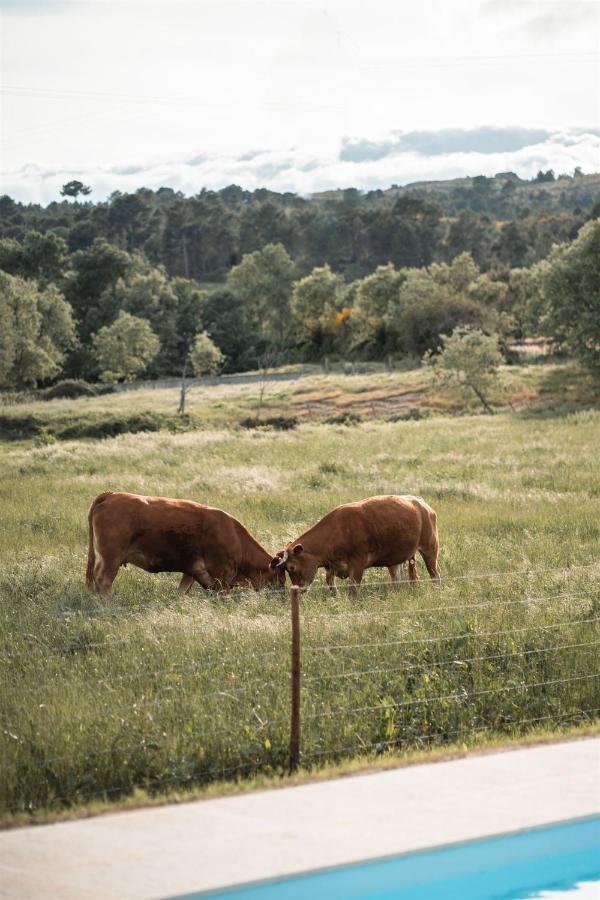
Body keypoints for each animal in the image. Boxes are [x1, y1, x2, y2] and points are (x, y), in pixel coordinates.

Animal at [86, 492, 286, 596]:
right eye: (281, 578)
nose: (283, 597)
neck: (235, 536)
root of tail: (111, 495)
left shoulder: (191, 570)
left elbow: (181, 592)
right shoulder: (222, 575)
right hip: (111, 558)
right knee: (103, 580)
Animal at [270, 492, 438, 592]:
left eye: (291, 567)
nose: (297, 589)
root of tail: (419, 501)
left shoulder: (357, 563)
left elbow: (353, 587)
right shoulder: (331, 565)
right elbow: (330, 582)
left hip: (430, 548)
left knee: (434, 573)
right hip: (398, 558)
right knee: (401, 577)